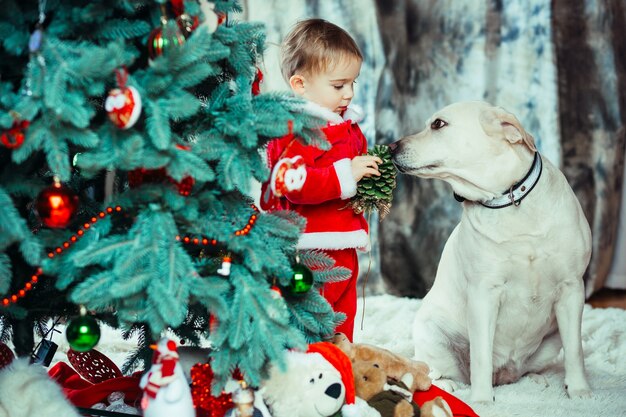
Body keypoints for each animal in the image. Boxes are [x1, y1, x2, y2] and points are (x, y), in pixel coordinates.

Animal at [390, 101, 588, 404]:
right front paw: (482, 401)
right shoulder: (483, 293)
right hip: (431, 333)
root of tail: (503, 374)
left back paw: (536, 379)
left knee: (524, 371)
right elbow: (480, 356)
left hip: (551, 339)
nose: (391, 147)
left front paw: (579, 391)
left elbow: (575, 350)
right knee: (434, 371)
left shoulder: (572, 289)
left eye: (438, 124)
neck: (510, 198)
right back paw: (449, 386)